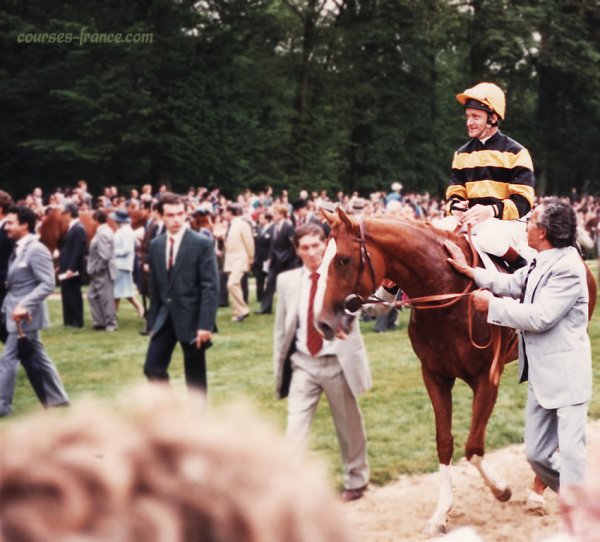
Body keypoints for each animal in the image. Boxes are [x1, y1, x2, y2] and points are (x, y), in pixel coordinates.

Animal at [316, 210, 596, 536]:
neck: (446, 292)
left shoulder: (486, 379)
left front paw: (501, 489)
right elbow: (444, 441)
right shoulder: (434, 375)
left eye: (343, 260)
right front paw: (441, 513)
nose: (322, 323)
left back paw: (538, 494)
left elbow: (473, 446)